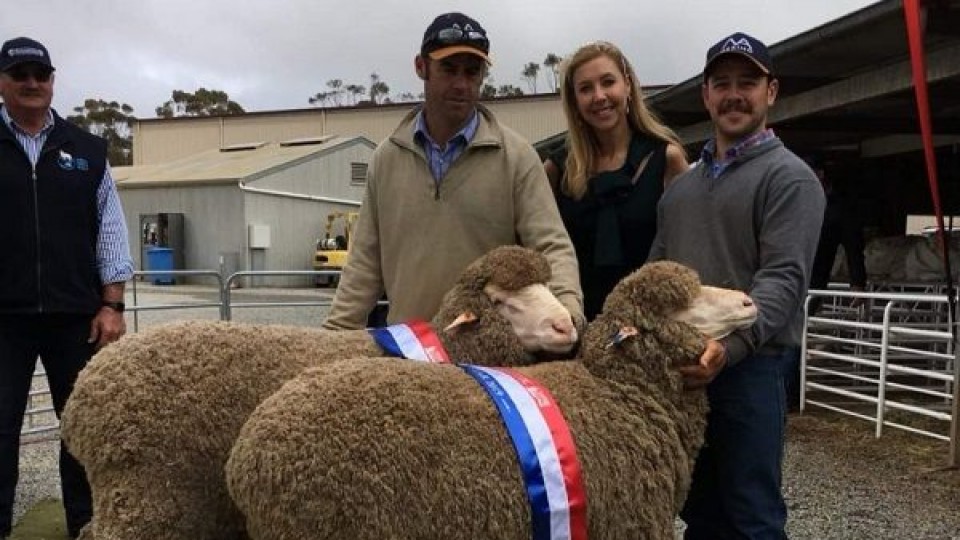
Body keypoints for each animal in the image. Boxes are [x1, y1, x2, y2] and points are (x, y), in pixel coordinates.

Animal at [63, 247, 580, 540]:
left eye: (546, 287)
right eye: (501, 302)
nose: (566, 325)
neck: (444, 347)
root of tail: (83, 395)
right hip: (150, 495)